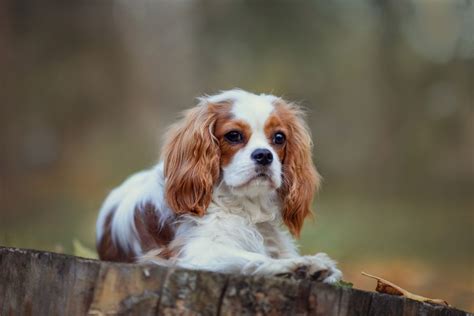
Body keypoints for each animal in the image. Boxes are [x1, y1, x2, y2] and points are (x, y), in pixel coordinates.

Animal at [95, 89, 340, 284]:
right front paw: (297, 265)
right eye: (233, 135)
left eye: (279, 137)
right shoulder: (192, 252)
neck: (244, 206)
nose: (264, 155)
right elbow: (251, 257)